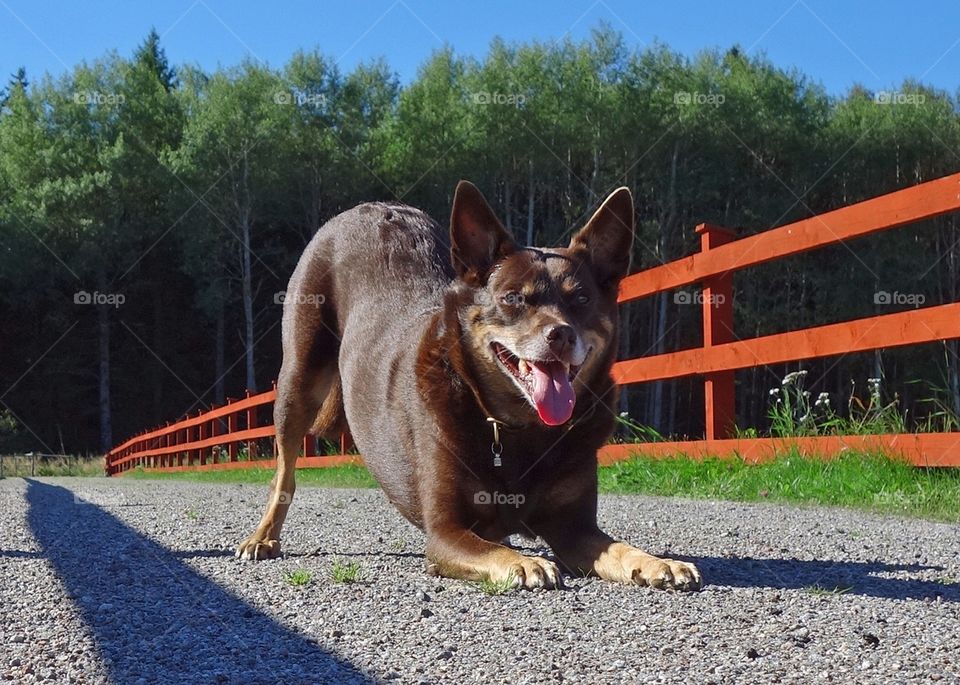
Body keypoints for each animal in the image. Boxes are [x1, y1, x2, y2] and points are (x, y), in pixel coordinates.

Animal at [236, 179, 700, 592]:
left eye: (582, 299)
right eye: (514, 298)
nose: (561, 335)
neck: (518, 429)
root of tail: (370, 206)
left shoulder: (574, 527)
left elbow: (618, 547)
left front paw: (658, 562)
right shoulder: (447, 532)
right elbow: (487, 549)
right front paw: (524, 562)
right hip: (299, 378)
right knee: (285, 470)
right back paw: (263, 537)